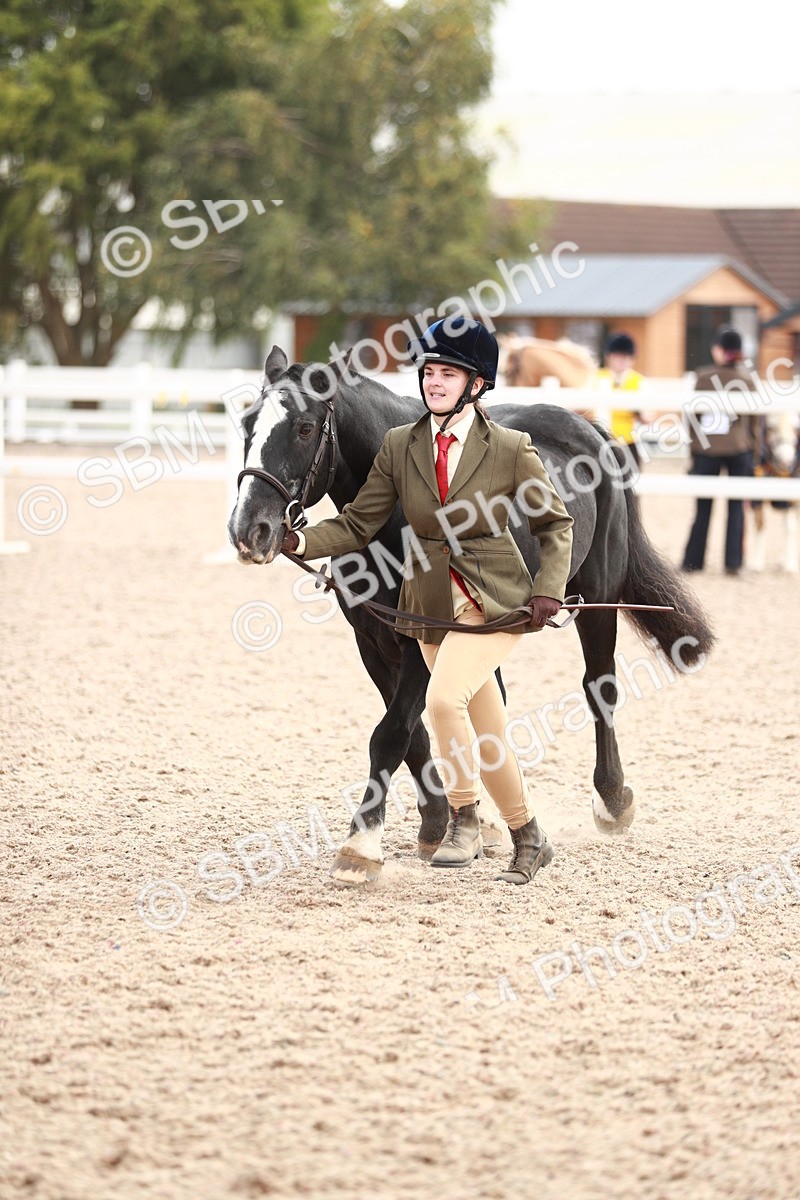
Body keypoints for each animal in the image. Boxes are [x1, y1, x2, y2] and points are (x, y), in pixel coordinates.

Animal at [749, 411, 800, 574]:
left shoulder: (791, 499)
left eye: (796, 428)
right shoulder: (756, 496)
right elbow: (760, 524)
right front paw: (757, 563)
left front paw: (789, 564)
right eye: (771, 428)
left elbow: (789, 528)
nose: (785, 462)